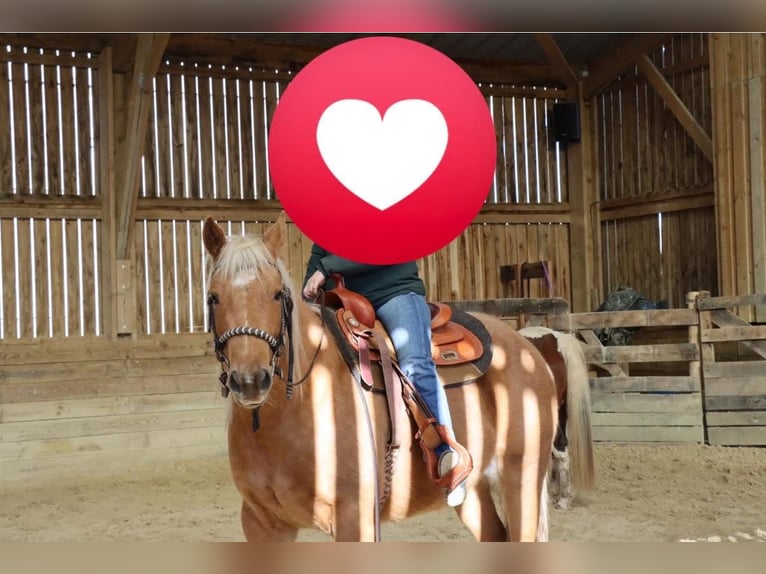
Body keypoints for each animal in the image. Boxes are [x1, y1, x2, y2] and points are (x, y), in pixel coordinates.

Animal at [202, 214, 559, 542]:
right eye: (213, 297)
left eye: (278, 294)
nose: (250, 380)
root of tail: (527, 347)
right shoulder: (263, 523)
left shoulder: (354, 518)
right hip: (473, 491)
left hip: (521, 478)